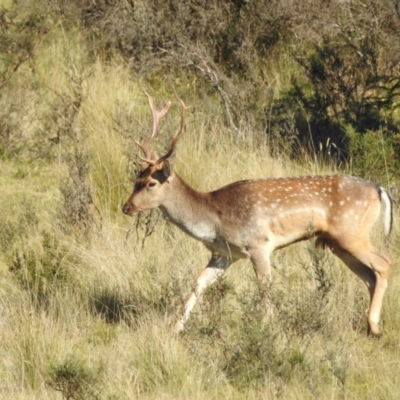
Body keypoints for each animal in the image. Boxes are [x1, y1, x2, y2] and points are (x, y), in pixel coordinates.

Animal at [121, 95, 390, 336]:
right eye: (136, 179)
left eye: (151, 183)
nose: (126, 207)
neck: (214, 219)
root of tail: (379, 189)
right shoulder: (224, 254)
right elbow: (198, 282)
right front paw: (175, 328)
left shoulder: (258, 245)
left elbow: (264, 287)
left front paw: (269, 329)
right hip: (338, 243)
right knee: (370, 275)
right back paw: (370, 326)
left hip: (352, 233)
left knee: (383, 263)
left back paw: (376, 326)